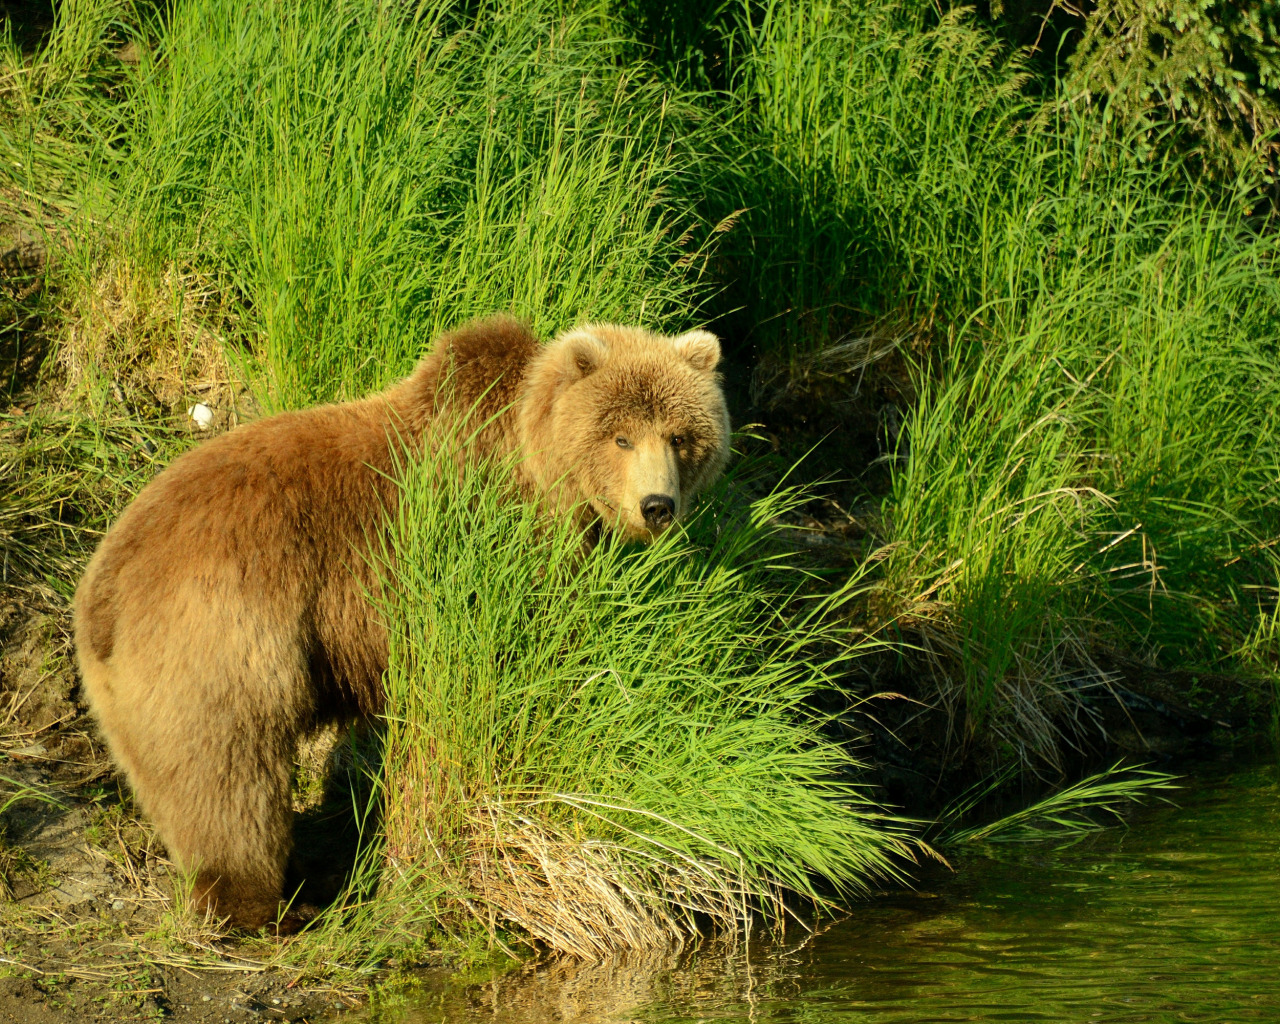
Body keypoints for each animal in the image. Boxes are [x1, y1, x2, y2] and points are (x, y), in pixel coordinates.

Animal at [72, 316, 732, 931]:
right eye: (621, 436)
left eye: (680, 436)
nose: (657, 506)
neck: (534, 459)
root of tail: (102, 586)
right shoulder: (484, 547)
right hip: (224, 632)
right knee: (228, 770)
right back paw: (262, 902)